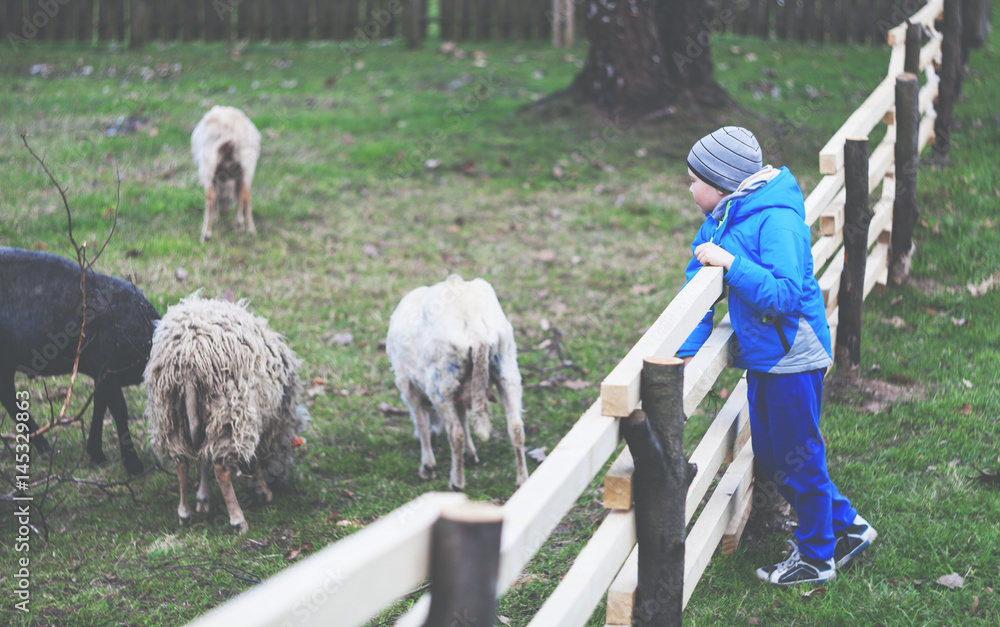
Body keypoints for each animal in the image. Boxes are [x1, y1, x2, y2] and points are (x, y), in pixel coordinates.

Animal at [0, 248, 160, 474]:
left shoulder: (102, 373)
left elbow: (100, 406)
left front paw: (97, 453)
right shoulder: (106, 367)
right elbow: (119, 410)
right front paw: (133, 463)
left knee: (7, 396)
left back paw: (43, 446)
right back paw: (44, 446)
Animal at [143, 294, 302, 536]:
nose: (281, 483)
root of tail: (188, 359)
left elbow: (204, 460)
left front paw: (202, 498)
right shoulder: (257, 416)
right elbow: (254, 457)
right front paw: (263, 492)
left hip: (171, 415)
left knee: (182, 463)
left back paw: (184, 514)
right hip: (230, 410)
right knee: (221, 470)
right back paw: (238, 519)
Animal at [190, 105, 262, 243]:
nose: (226, 211)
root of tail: (228, 129)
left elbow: (216, 194)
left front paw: (216, 217)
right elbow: (239, 194)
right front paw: (239, 222)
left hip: (207, 163)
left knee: (211, 195)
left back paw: (206, 233)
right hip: (248, 162)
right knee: (245, 194)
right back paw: (250, 229)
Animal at [384, 274, 532, 490]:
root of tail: (475, 326)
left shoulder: (407, 385)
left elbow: (422, 421)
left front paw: (427, 465)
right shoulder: (461, 390)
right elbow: (463, 418)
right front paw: (470, 455)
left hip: (441, 384)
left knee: (456, 435)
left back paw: (457, 481)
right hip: (507, 370)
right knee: (516, 427)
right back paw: (522, 480)